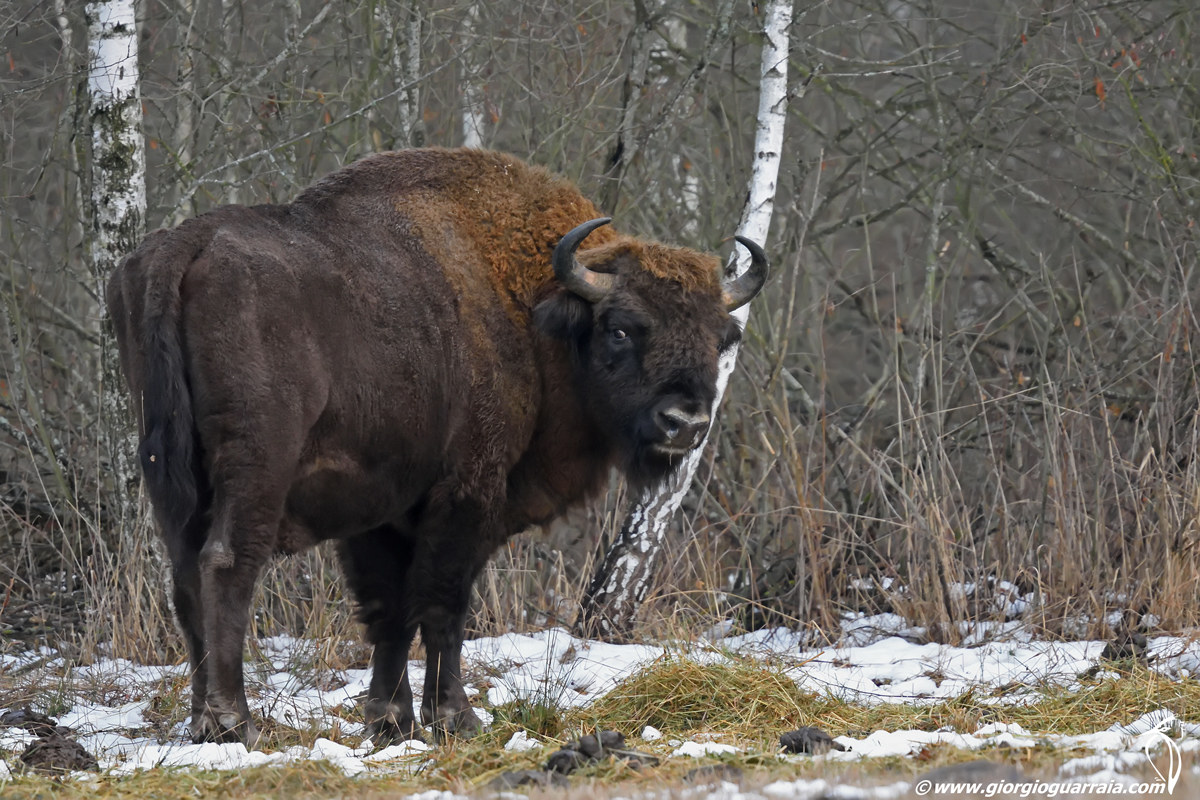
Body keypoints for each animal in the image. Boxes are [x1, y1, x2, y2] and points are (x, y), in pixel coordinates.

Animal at [107, 147, 767, 745]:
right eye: (621, 328)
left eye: (720, 336)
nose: (685, 422)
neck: (530, 309)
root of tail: (185, 246)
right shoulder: (466, 493)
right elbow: (444, 604)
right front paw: (457, 719)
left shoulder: (381, 511)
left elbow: (390, 610)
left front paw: (392, 722)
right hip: (256, 466)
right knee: (227, 563)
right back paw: (233, 722)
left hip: (168, 471)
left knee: (185, 576)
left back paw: (200, 721)